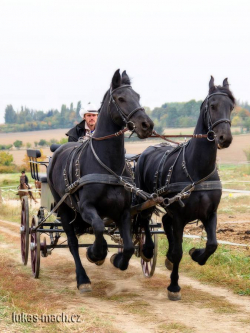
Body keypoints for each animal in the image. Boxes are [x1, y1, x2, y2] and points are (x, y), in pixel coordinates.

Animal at [46, 69, 153, 290]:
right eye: (120, 98)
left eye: (137, 96)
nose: (147, 125)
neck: (108, 166)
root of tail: (57, 151)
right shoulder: (87, 208)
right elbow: (98, 227)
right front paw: (95, 253)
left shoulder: (123, 211)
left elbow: (128, 246)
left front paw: (117, 260)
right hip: (64, 208)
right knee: (72, 243)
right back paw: (82, 279)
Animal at [135, 76, 234, 300]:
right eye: (212, 106)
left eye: (231, 106)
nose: (225, 138)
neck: (196, 169)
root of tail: (147, 150)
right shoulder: (180, 217)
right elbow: (179, 251)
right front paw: (174, 286)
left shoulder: (210, 213)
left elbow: (212, 244)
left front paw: (197, 254)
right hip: (145, 199)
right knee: (145, 221)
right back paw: (148, 249)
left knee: (164, 220)